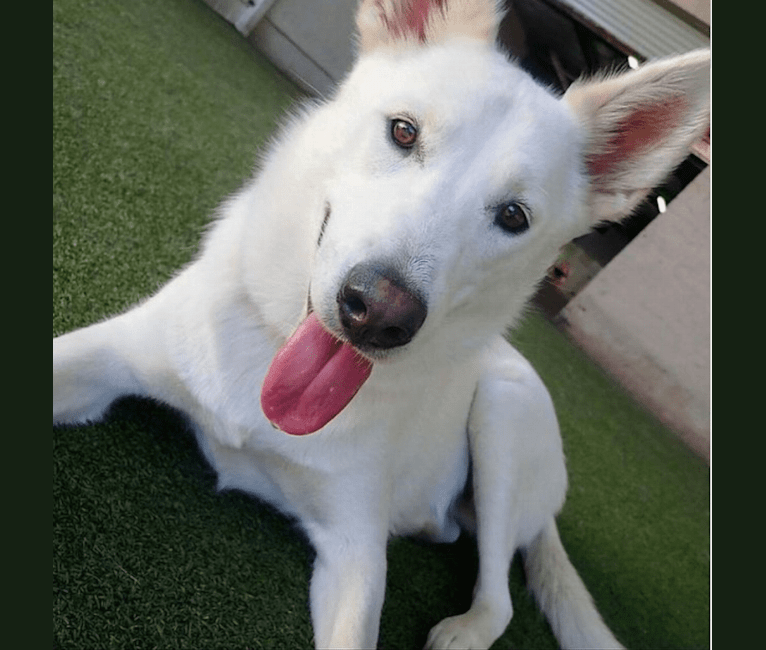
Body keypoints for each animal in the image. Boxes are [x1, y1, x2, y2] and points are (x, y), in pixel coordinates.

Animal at [55, 1, 712, 644]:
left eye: (513, 216)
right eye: (403, 131)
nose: (379, 313)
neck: (267, 363)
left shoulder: (357, 555)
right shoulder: (99, 359)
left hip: (502, 415)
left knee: (499, 596)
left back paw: (462, 630)